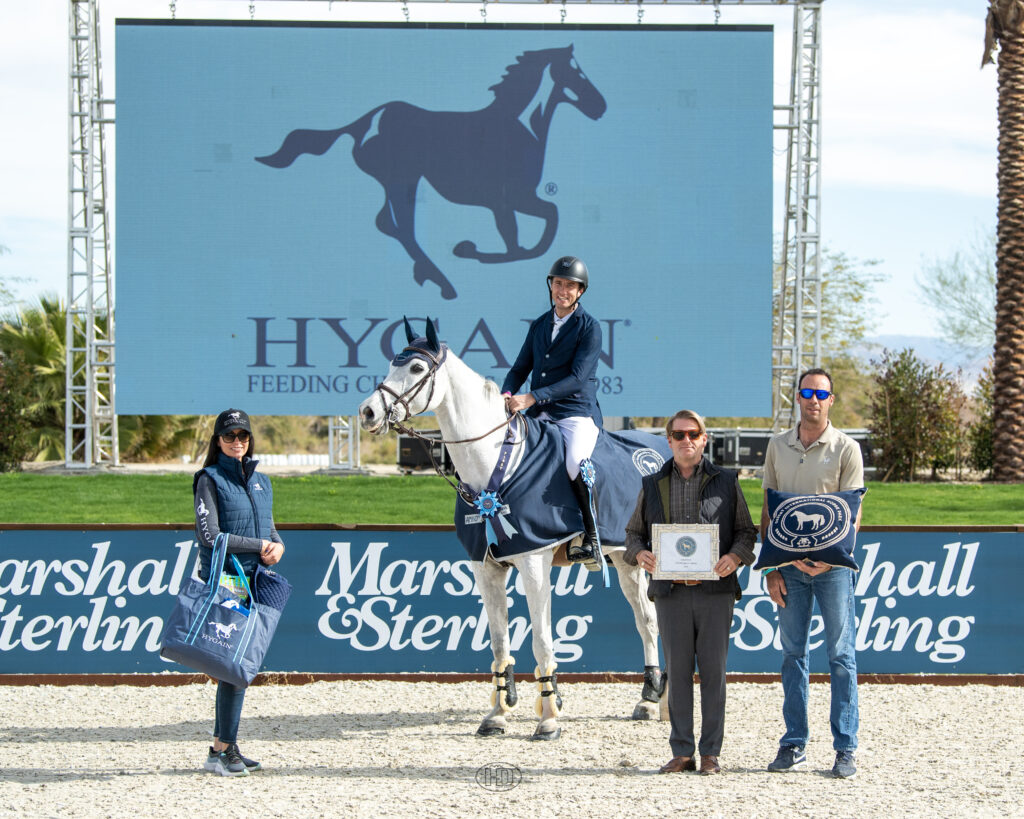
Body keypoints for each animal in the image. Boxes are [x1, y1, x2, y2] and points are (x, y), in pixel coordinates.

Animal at [255, 45, 606, 301]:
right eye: (576, 71)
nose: (600, 106)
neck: (520, 129)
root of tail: (366, 121)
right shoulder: (507, 200)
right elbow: (532, 233)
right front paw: (469, 249)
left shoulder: (511, 201)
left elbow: (531, 233)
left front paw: (472, 250)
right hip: (403, 179)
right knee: (401, 228)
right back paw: (441, 282)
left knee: (386, 223)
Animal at [358, 318, 669, 740]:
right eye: (393, 362)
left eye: (418, 368)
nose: (368, 412)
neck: (495, 466)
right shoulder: (485, 567)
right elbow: (499, 642)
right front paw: (499, 713)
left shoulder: (533, 562)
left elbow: (541, 640)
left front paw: (548, 717)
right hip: (625, 560)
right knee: (646, 619)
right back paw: (649, 698)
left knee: (655, 618)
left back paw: (658, 699)